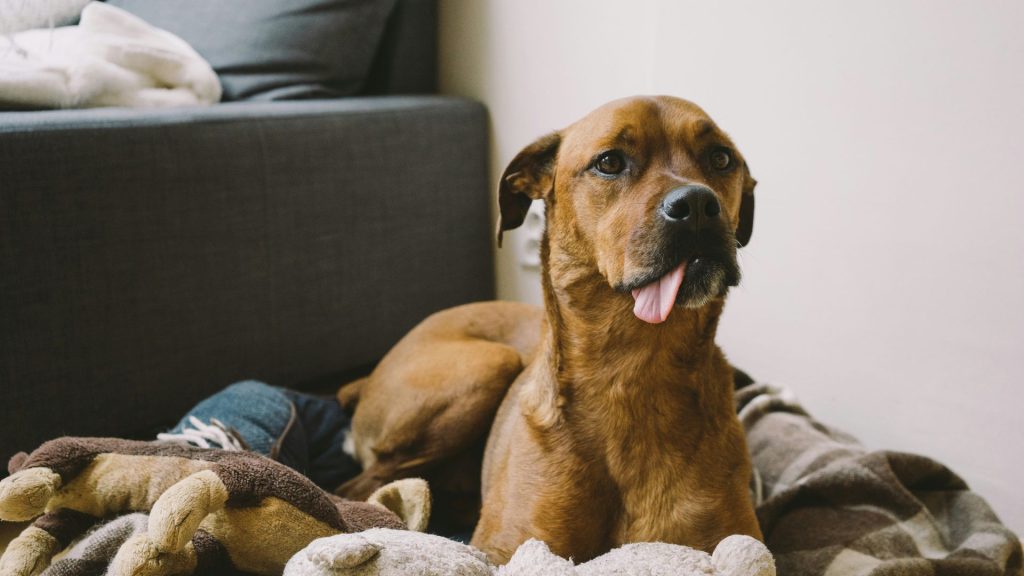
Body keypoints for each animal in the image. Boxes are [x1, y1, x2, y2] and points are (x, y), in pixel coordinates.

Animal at [339, 95, 765, 561]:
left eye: (721, 158)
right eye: (610, 162)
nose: (699, 205)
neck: (634, 371)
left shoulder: (731, 541)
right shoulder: (510, 548)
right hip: (484, 367)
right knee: (359, 487)